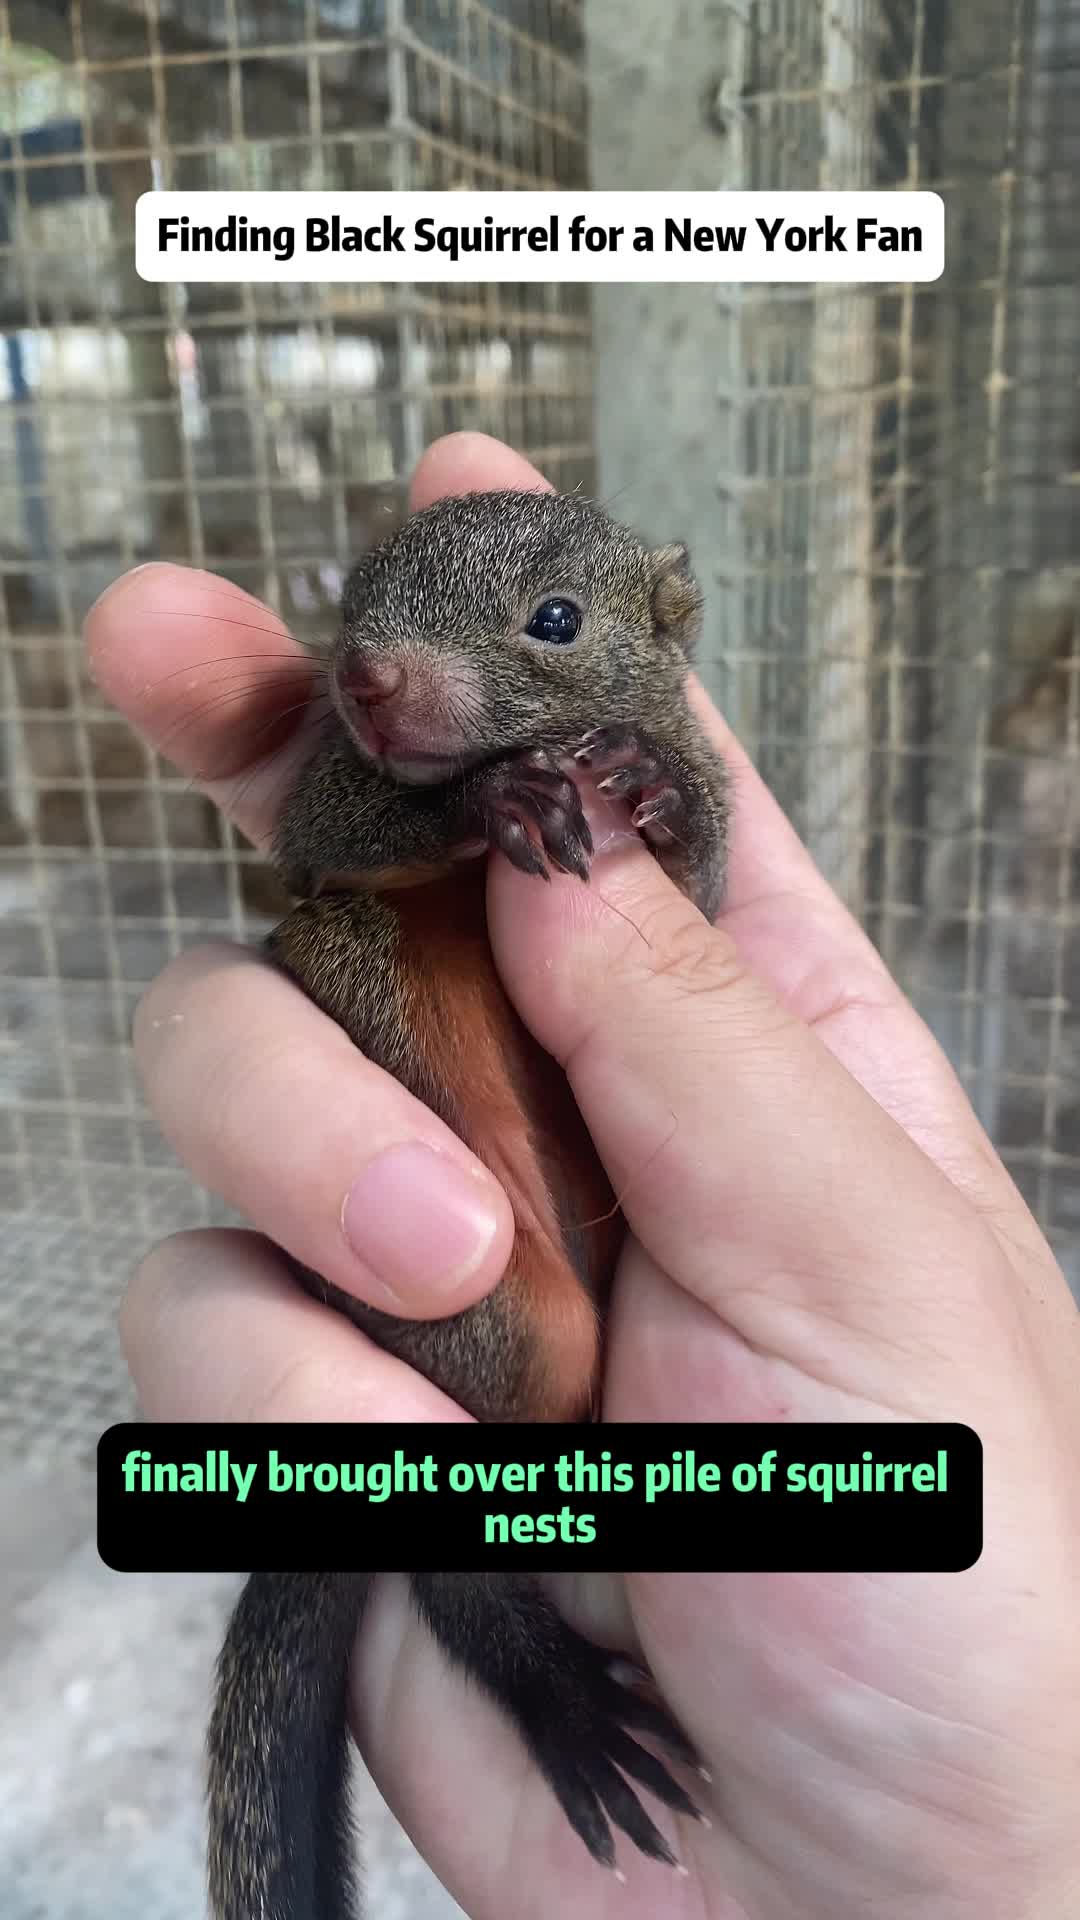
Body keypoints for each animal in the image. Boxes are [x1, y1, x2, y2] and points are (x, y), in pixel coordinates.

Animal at [205, 487, 731, 1920]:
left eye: (556, 619)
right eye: (351, 599)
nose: (366, 679)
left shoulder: (711, 889)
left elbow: (706, 870)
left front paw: (654, 788)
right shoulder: (331, 816)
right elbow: (337, 830)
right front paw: (494, 793)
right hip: (498, 1320)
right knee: (457, 1568)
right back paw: (564, 1701)